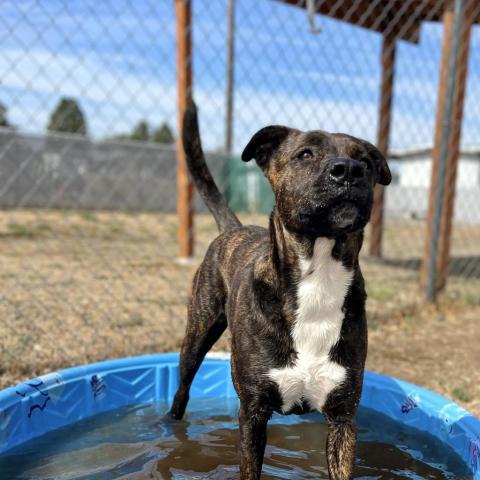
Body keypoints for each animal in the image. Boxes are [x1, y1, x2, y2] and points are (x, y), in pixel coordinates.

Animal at [168, 102, 390, 480]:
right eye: (305, 154)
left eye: (365, 160)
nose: (349, 170)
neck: (319, 280)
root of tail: (235, 228)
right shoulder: (253, 414)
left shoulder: (343, 419)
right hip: (196, 337)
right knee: (181, 390)